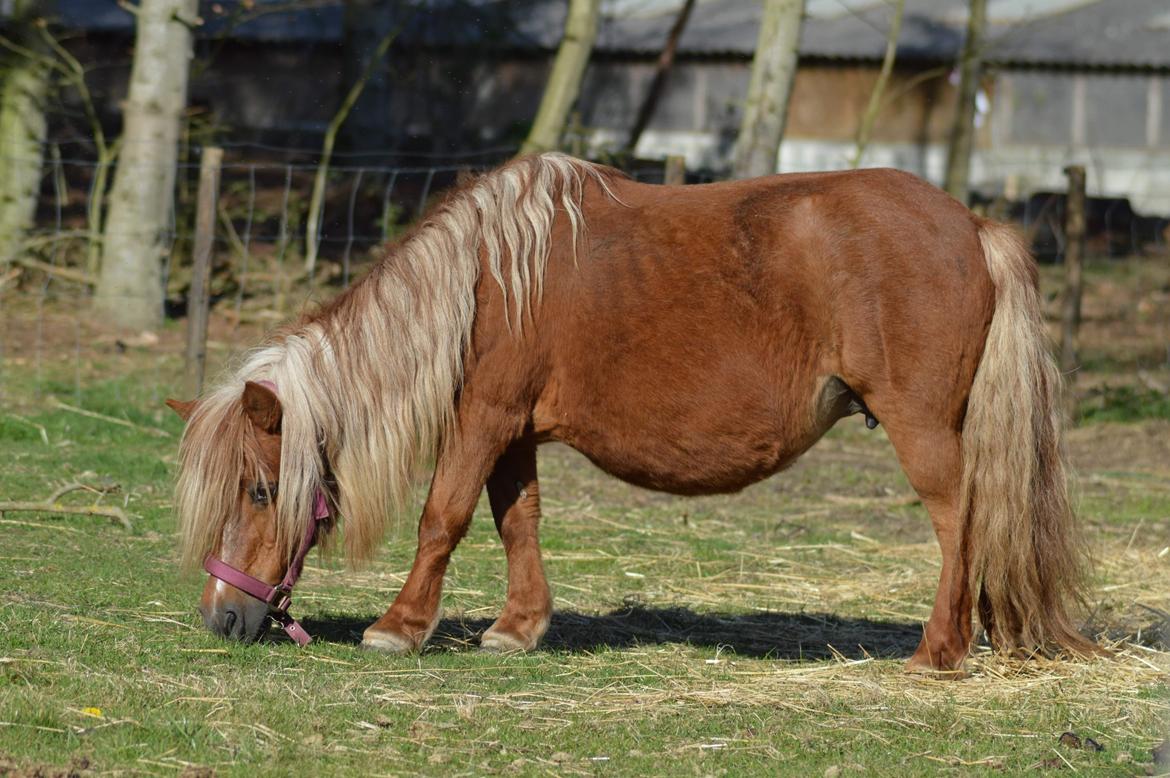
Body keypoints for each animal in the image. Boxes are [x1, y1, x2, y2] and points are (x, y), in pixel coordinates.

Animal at [167, 153, 1095, 673]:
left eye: (259, 491)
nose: (222, 619)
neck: (485, 280)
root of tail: (972, 224)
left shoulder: (483, 418)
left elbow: (444, 517)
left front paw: (400, 627)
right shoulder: (513, 431)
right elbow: (517, 521)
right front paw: (519, 627)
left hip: (921, 426)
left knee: (959, 522)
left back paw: (939, 651)